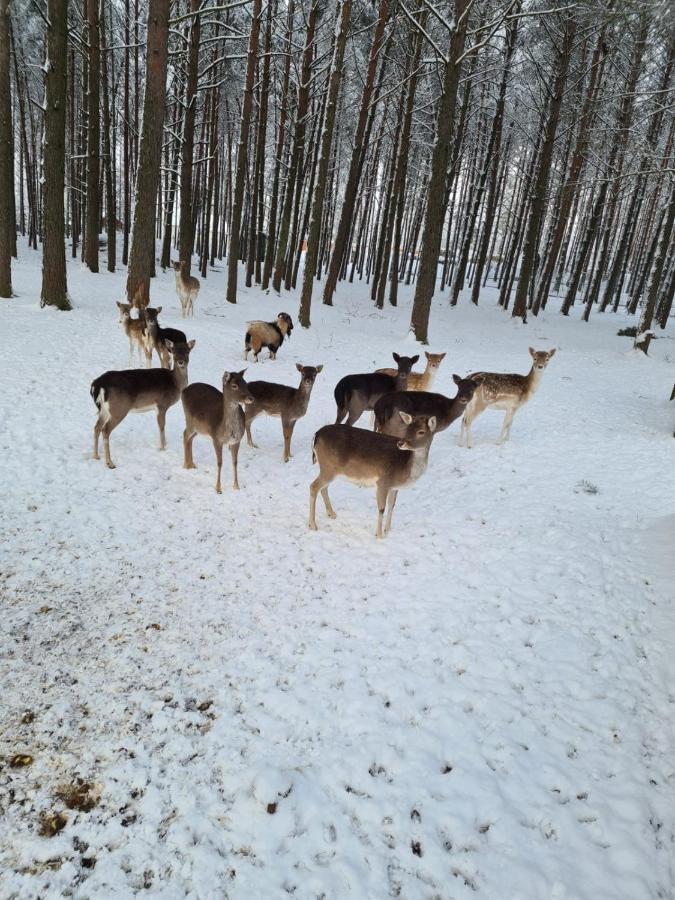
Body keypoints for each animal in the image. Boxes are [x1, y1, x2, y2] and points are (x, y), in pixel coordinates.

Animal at [91, 334, 195, 468]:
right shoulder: (161, 404)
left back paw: (96, 456)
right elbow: (162, 426)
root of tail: (98, 384)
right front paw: (162, 448)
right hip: (118, 408)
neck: (175, 383)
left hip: (104, 409)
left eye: (187, 351)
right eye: (174, 352)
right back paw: (110, 463)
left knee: (96, 427)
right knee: (105, 430)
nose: (181, 362)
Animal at [182, 368, 254, 496]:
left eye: (245, 383)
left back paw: (191, 464)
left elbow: (235, 461)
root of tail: (183, 390)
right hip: (189, 420)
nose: (251, 398)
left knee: (190, 438)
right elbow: (220, 462)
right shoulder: (216, 439)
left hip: (199, 428)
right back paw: (186, 465)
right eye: (234, 385)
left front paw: (236, 486)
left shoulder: (237, 440)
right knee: (185, 434)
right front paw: (218, 488)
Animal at [308, 412, 436, 536]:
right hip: (328, 467)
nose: (400, 443)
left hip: (330, 470)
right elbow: (382, 508)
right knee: (313, 486)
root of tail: (316, 434)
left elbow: (392, 505)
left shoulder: (393, 487)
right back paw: (313, 525)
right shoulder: (382, 482)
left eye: (421, 432)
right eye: (408, 428)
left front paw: (387, 530)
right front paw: (379, 535)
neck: (405, 467)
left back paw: (331, 513)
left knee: (323, 488)